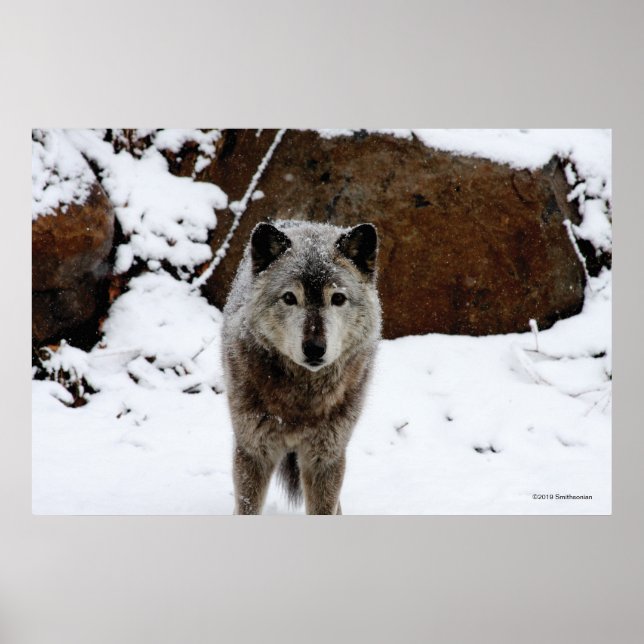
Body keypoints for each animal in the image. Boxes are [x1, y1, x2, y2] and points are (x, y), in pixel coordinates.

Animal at [222, 220, 381, 514]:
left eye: (338, 298)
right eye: (289, 298)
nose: (315, 348)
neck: (301, 401)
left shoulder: (325, 458)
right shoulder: (253, 451)